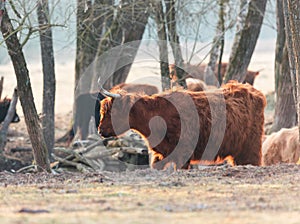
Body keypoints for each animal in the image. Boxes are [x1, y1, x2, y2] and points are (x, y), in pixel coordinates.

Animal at [98, 80, 264, 170]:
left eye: (111, 111)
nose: (100, 130)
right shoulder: (160, 154)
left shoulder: (183, 155)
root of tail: (251, 90)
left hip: (250, 150)